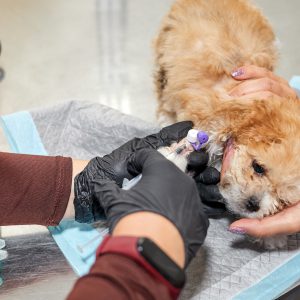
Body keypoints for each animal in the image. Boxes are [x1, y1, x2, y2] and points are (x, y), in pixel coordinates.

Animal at [155, 0, 300, 248]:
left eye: (282, 199)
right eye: (258, 167)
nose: (253, 204)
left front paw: (275, 236)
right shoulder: (207, 123)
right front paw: (170, 157)